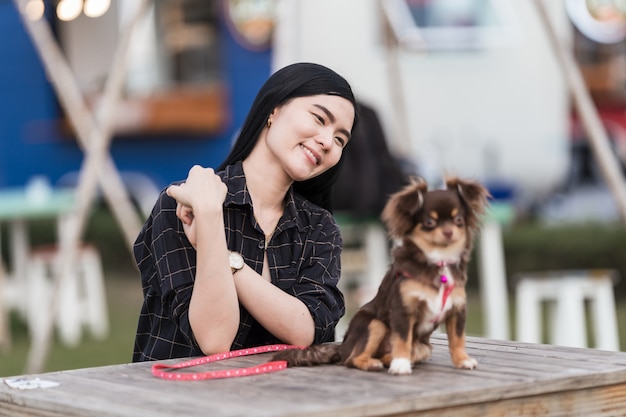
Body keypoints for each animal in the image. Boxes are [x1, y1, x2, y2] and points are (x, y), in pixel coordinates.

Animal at [272, 176, 488, 374]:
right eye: (429, 222)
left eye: (459, 220)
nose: (449, 232)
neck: (438, 262)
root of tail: (343, 346)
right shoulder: (403, 310)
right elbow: (402, 339)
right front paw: (400, 365)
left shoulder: (456, 310)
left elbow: (457, 338)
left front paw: (462, 360)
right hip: (374, 324)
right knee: (352, 359)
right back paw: (373, 363)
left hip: (424, 347)